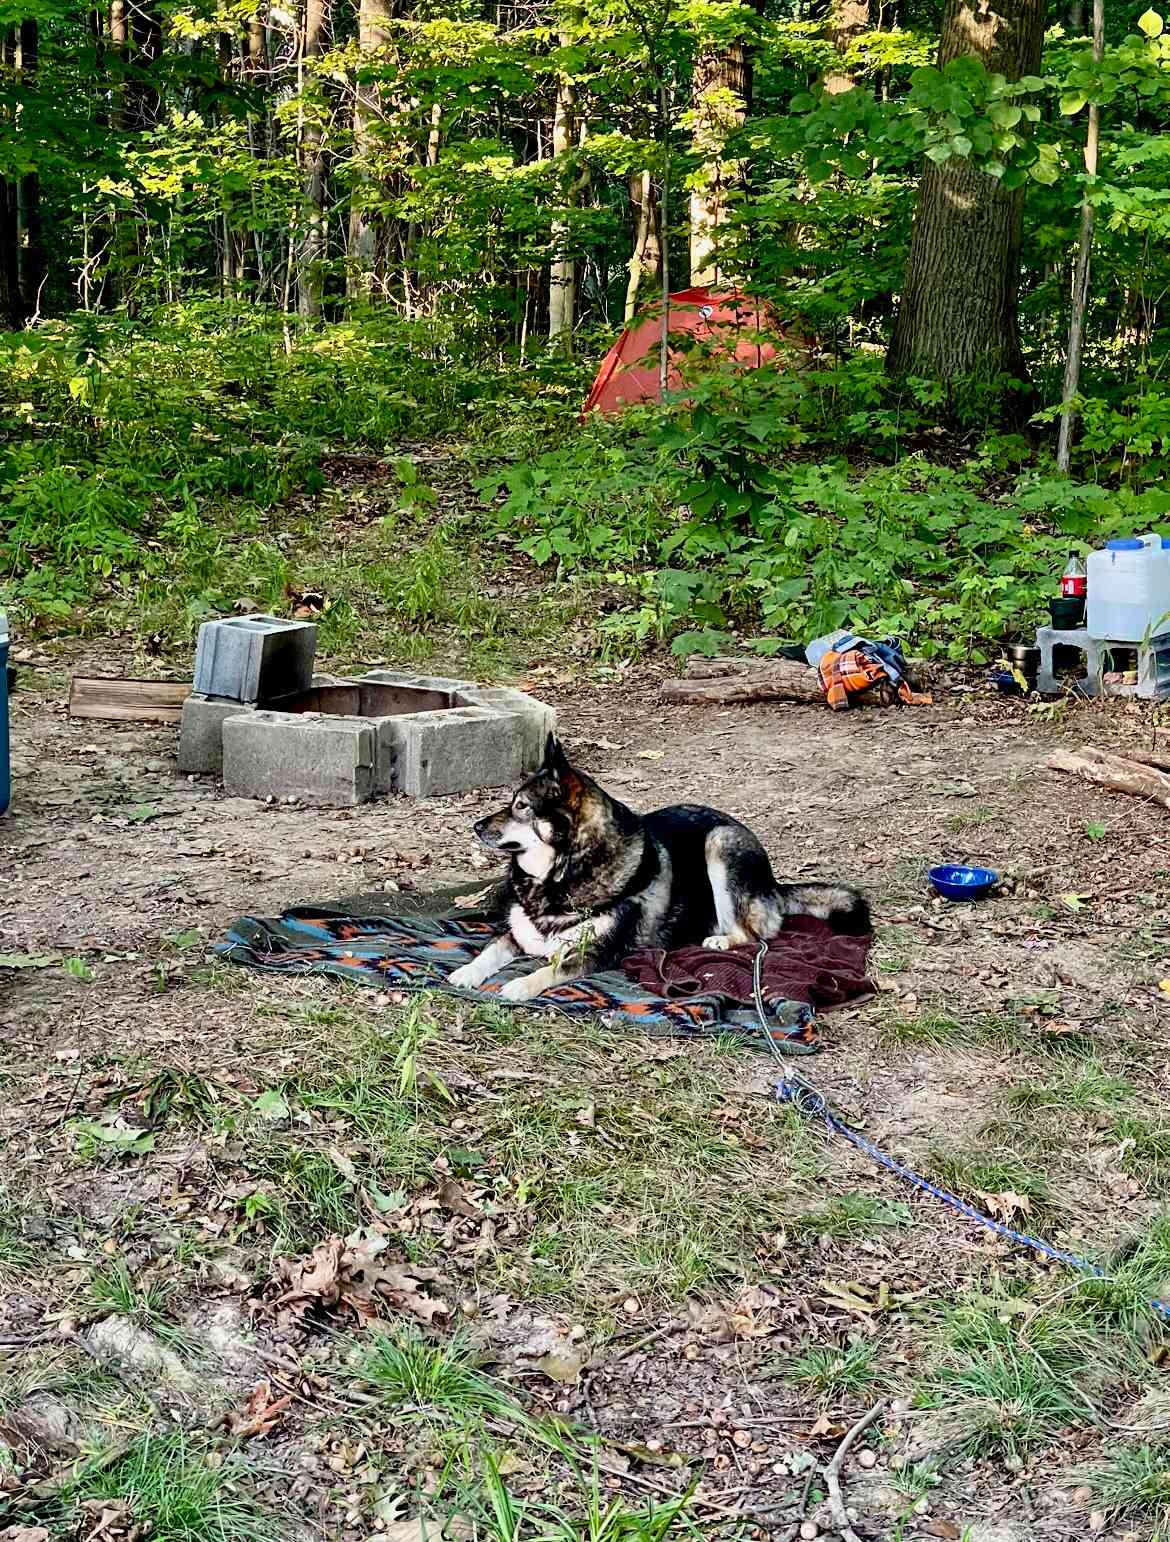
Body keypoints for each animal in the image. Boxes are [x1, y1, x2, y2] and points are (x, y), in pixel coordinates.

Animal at [447, 737, 869, 1005]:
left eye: (520, 806)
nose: (476, 827)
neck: (560, 876)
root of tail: (775, 884)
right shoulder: (516, 935)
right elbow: (489, 951)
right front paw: (467, 972)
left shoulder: (596, 952)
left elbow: (551, 969)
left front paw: (520, 985)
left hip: (720, 843)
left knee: (757, 934)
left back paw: (721, 940)